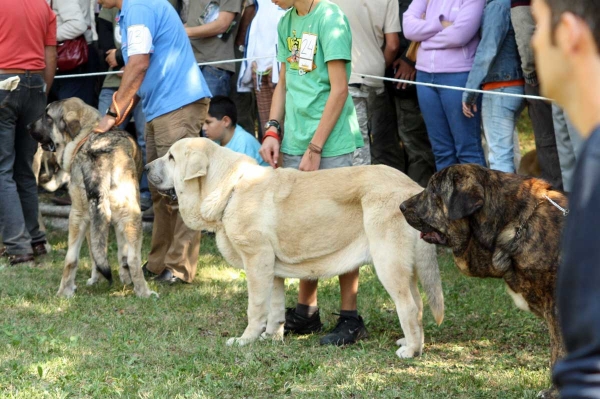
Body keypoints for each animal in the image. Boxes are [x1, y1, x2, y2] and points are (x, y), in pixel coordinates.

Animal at [29, 97, 156, 298]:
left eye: (47, 116)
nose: (28, 126)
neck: (86, 134)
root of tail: (99, 158)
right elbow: (122, 253)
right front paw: (123, 278)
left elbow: (97, 254)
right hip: (133, 217)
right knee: (134, 258)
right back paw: (144, 293)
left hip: (78, 216)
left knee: (71, 258)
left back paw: (64, 292)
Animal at [147, 138, 442, 360]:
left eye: (171, 157)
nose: (146, 167)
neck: (230, 188)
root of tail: (412, 188)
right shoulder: (272, 270)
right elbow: (275, 307)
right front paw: (270, 337)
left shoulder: (256, 261)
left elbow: (255, 307)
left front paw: (245, 340)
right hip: (406, 268)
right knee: (418, 305)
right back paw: (412, 342)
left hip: (388, 264)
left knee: (407, 306)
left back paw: (410, 351)